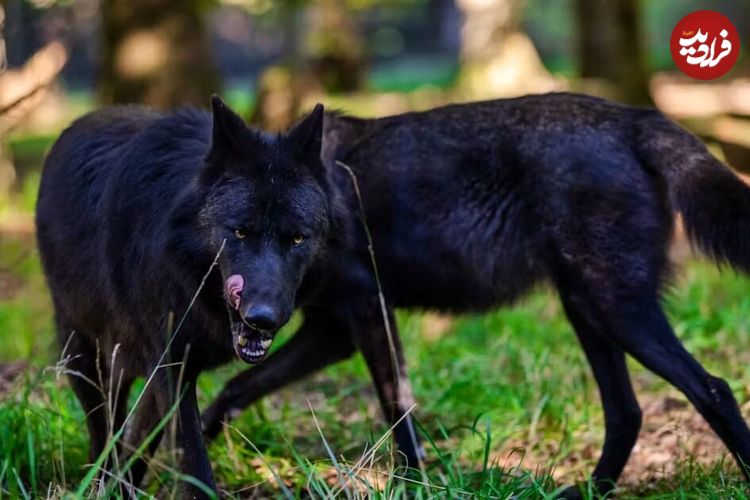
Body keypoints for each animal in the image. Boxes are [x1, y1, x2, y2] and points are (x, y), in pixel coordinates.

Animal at [204, 93, 750, 496]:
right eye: (239, 232)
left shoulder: (366, 312)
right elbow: (232, 391)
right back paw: (588, 491)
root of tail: (633, 116)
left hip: (617, 311)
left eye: (292, 237)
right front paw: (188, 463)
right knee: (627, 412)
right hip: (587, 311)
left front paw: (413, 487)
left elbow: (398, 411)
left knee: (714, 389)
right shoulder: (333, 333)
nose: (259, 314)